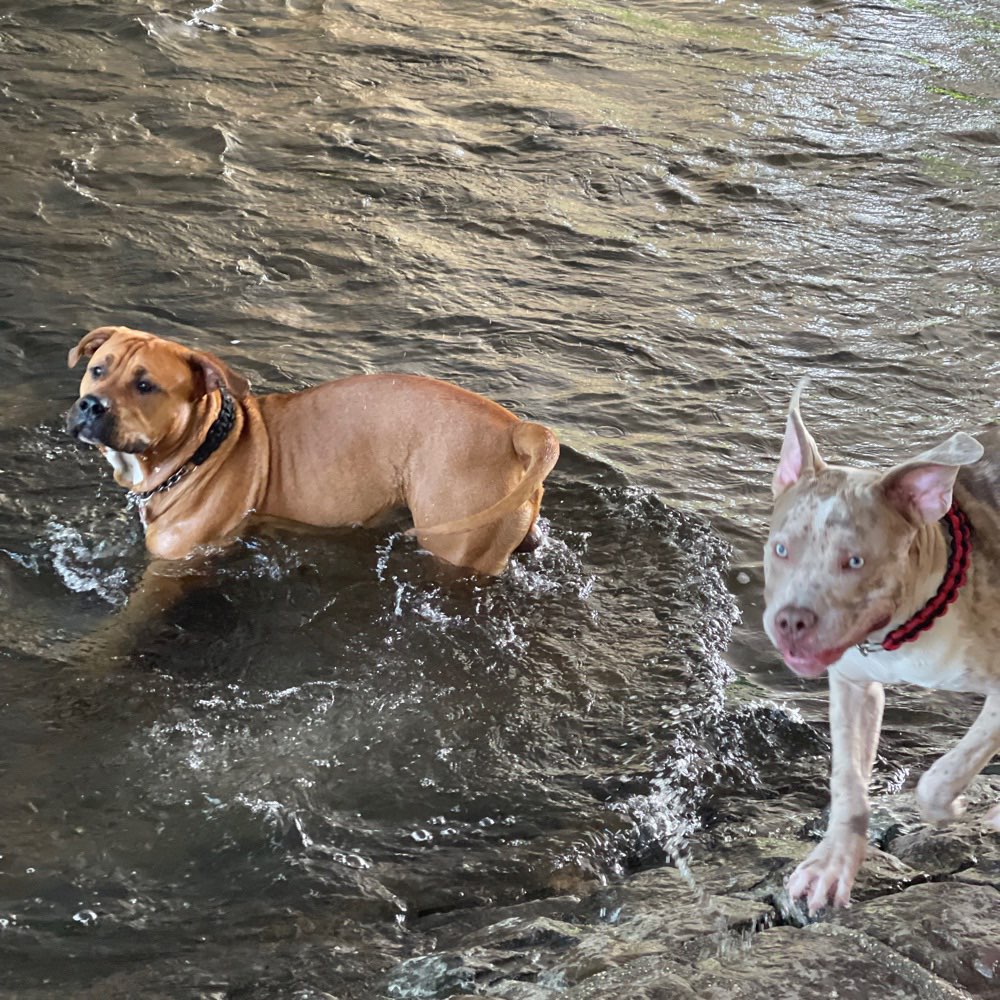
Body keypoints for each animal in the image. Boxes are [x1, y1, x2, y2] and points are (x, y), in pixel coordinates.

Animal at [66, 328, 560, 580]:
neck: (204, 448)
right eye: (98, 370)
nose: (91, 405)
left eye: (146, 386)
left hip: (456, 546)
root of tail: (517, 430)